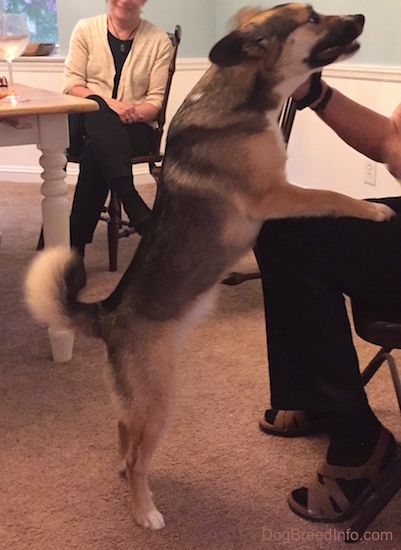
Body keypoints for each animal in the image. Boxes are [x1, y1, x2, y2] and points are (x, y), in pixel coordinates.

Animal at [24, 2, 394, 532]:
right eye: (311, 18)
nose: (361, 17)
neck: (241, 97)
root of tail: (106, 315)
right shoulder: (275, 195)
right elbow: (332, 196)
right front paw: (375, 211)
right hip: (159, 399)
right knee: (137, 454)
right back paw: (145, 510)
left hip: (138, 400)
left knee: (123, 433)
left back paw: (128, 480)